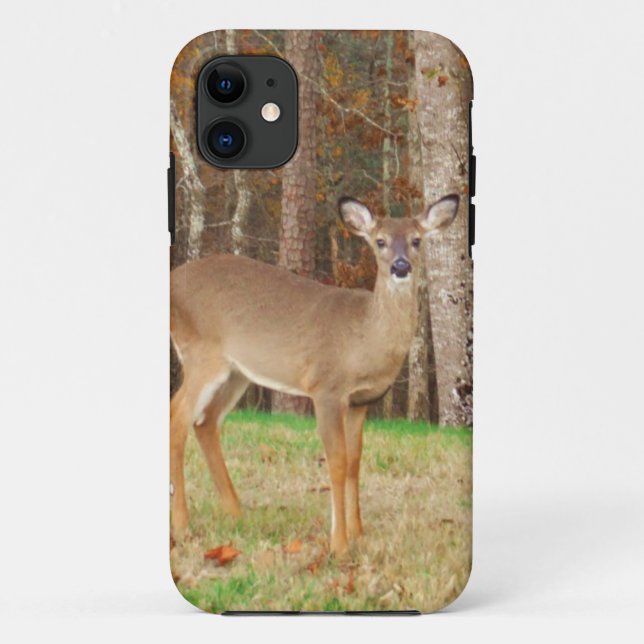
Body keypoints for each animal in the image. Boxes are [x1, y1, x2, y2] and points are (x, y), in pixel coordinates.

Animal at [170, 193, 460, 556]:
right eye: (379, 241)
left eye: (416, 240)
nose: (401, 266)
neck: (364, 338)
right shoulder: (326, 388)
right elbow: (336, 461)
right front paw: (340, 543)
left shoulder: (361, 401)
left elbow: (355, 462)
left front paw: (359, 532)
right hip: (202, 355)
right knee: (178, 416)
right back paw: (182, 524)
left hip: (237, 372)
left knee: (205, 422)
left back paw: (236, 513)